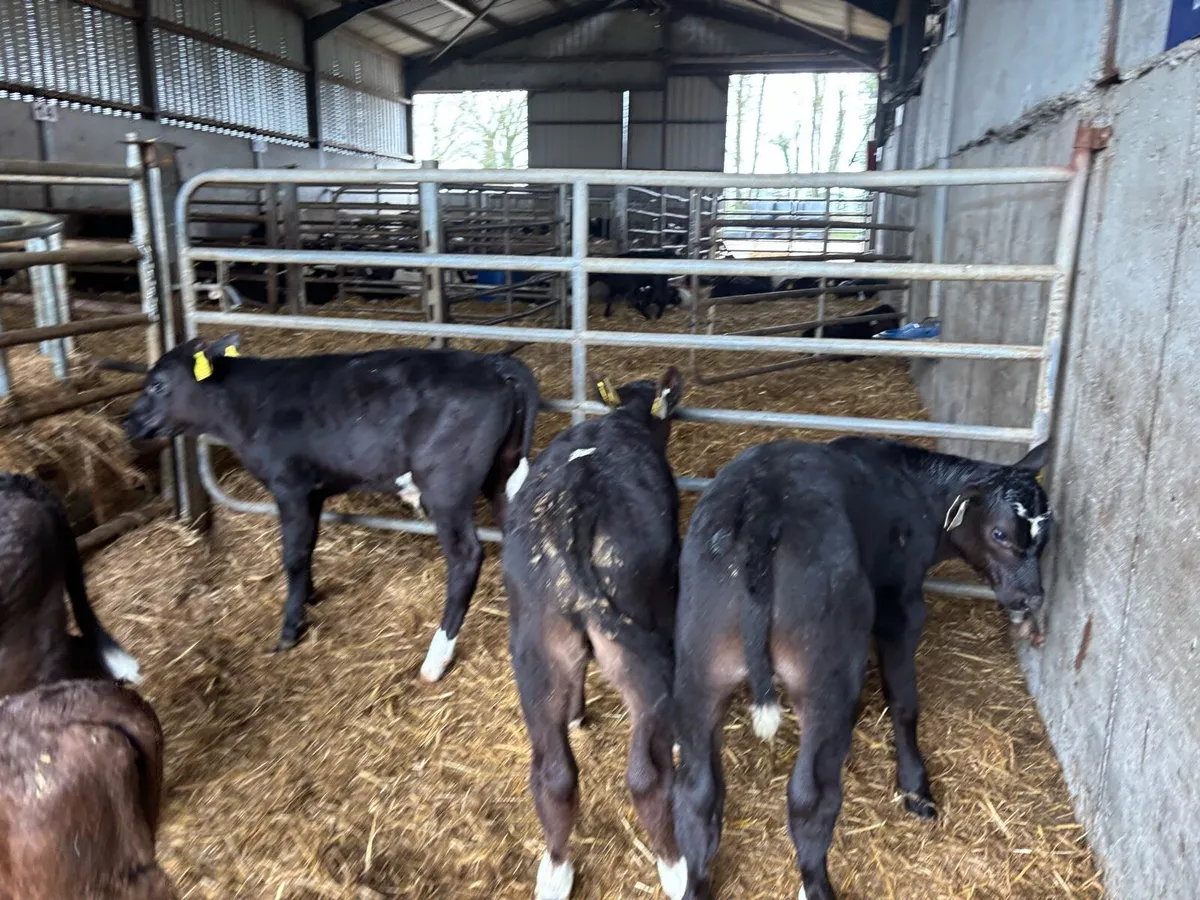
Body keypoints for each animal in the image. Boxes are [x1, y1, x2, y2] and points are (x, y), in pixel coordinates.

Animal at [122, 334, 540, 680]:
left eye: (157, 384)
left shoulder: (289, 486)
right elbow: (308, 548)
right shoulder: (314, 492)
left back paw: (435, 660)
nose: (127, 422)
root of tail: (492, 363)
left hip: (447, 486)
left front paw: (291, 627)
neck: (248, 402)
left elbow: (292, 555)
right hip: (502, 473)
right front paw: (309, 595)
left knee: (466, 556)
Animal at [502, 368, 687, 900]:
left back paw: (557, 869)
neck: (620, 421)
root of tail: (575, 509)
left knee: (552, 775)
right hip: (640, 657)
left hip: (536, 649)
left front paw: (578, 714)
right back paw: (675, 867)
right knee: (646, 776)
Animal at [671, 438, 1053, 900]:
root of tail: (762, 510)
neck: (913, 488)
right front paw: (915, 787)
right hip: (824, 676)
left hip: (699, 667)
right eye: (999, 533)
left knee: (697, 794)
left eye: (1044, 536)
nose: (1032, 597)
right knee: (811, 797)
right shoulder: (900, 607)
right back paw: (819, 884)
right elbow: (903, 701)